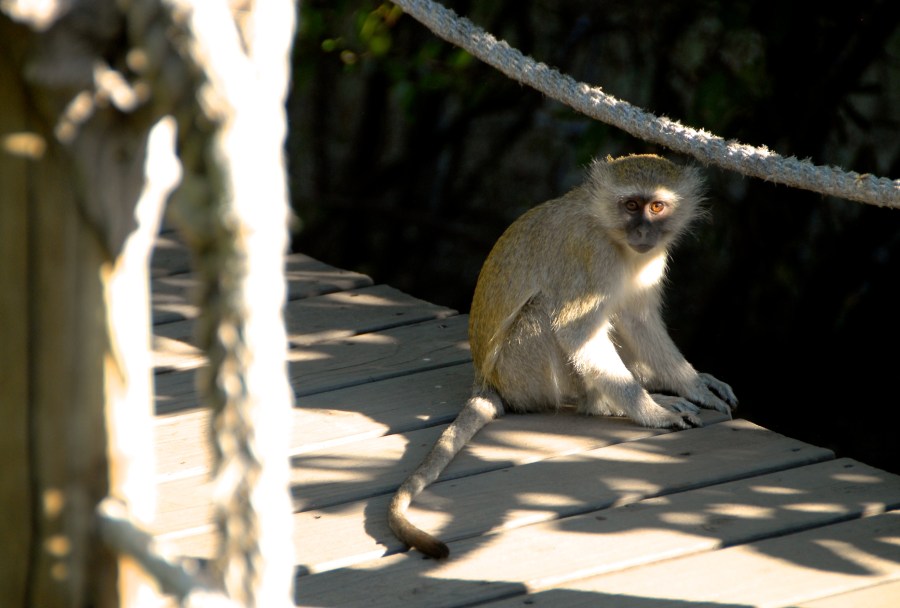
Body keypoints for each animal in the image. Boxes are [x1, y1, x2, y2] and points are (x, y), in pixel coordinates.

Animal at [387, 153, 738, 559]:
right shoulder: (592, 253)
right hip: (524, 374)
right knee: (547, 312)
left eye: (656, 207)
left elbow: (638, 319)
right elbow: (577, 332)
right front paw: (653, 412)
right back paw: (602, 405)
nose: (643, 233)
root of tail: (487, 382)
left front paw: (695, 385)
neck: (610, 230)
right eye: (631, 205)